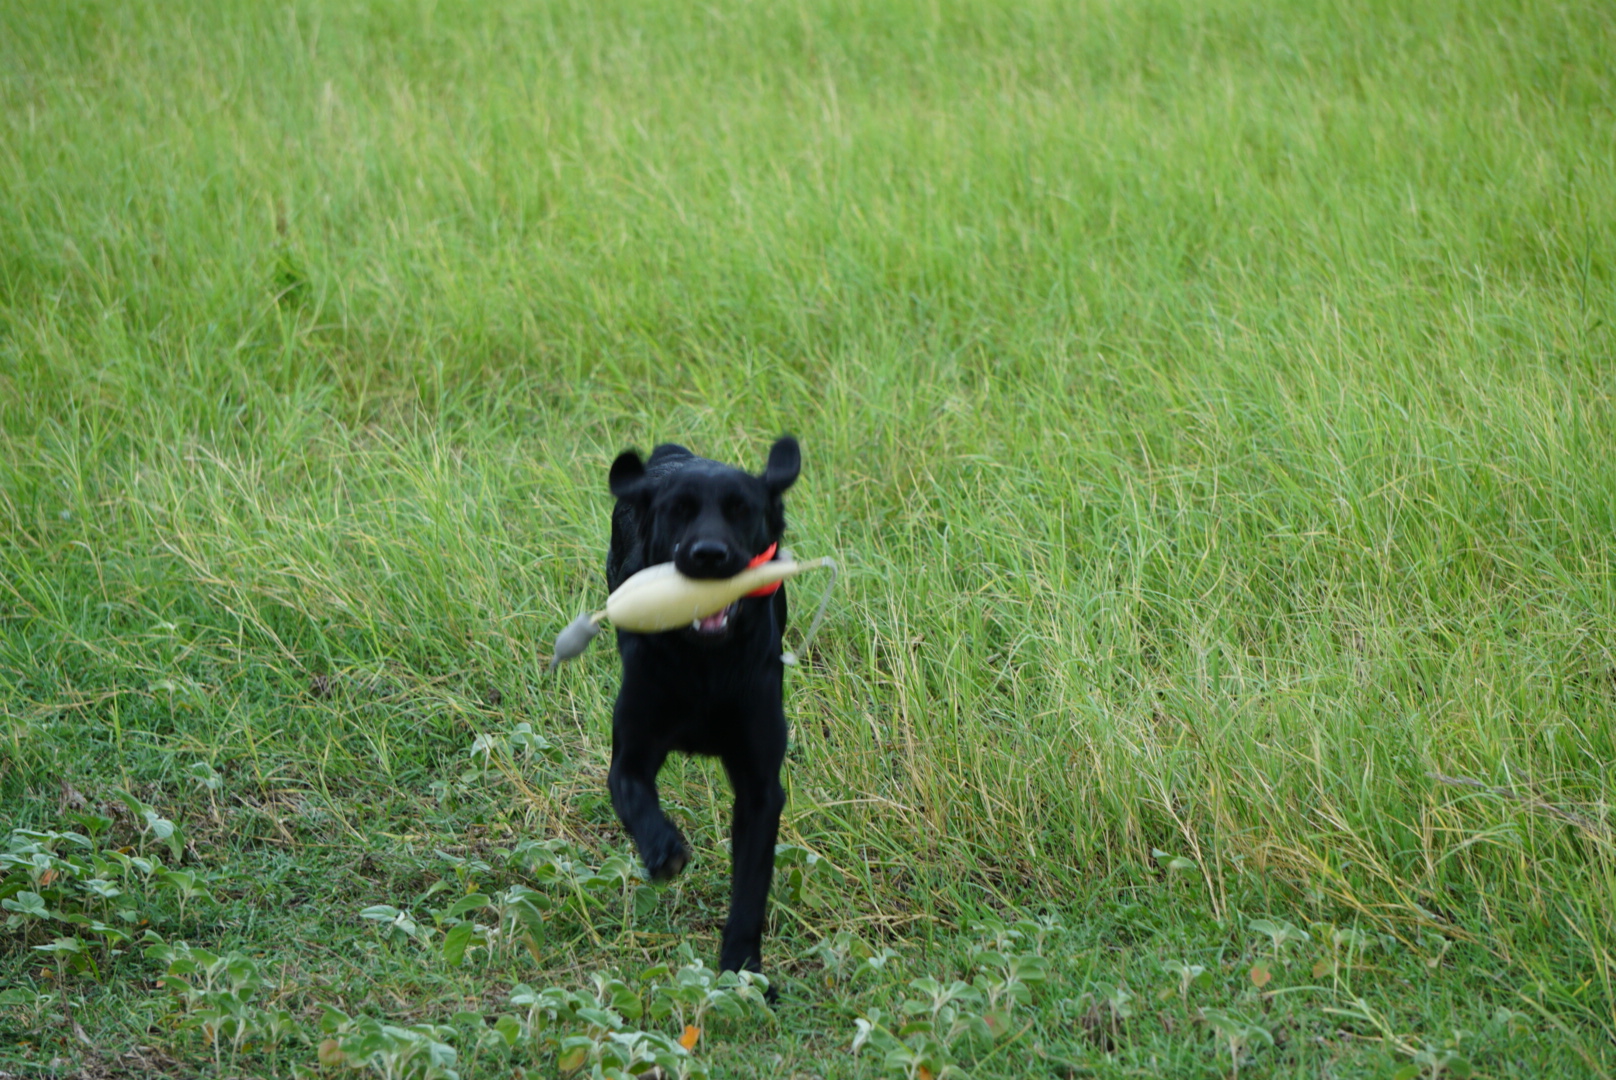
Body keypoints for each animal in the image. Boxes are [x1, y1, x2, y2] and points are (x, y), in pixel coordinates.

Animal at [604, 435, 801, 981]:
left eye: (742, 510)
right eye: (679, 511)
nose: (709, 554)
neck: (705, 665)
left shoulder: (760, 787)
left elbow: (750, 888)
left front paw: (742, 968)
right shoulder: (631, 755)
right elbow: (635, 798)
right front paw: (664, 850)